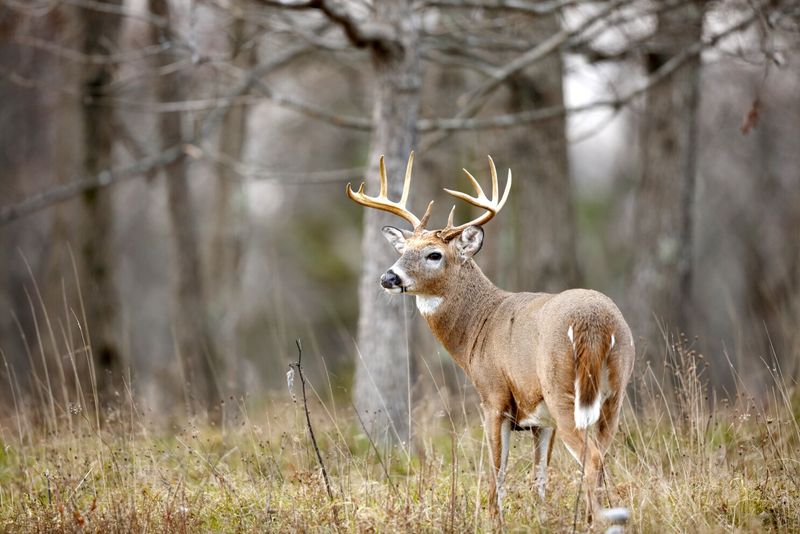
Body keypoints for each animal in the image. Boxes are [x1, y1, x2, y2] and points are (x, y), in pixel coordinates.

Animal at [346, 153, 636, 520]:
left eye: (434, 254)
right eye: (403, 249)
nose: (388, 277)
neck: (479, 327)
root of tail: (594, 323)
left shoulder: (493, 395)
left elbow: (497, 471)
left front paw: (493, 518)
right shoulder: (541, 419)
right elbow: (539, 477)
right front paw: (539, 519)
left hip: (562, 389)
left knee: (593, 459)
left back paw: (597, 520)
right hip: (614, 393)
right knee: (602, 456)